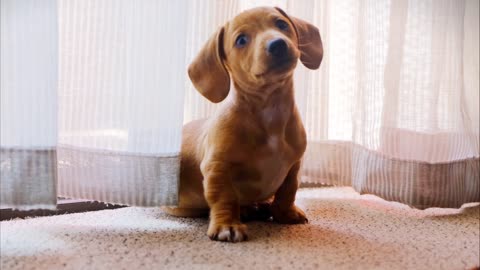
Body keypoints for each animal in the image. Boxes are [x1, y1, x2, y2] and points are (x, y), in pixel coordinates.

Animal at [166, 6, 322, 243]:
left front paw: (285, 213)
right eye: (241, 40)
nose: (277, 44)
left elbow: (288, 191)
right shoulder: (217, 167)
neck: (270, 111)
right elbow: (225, 198)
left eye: (281, 24)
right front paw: (226, 225)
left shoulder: (295, 165)